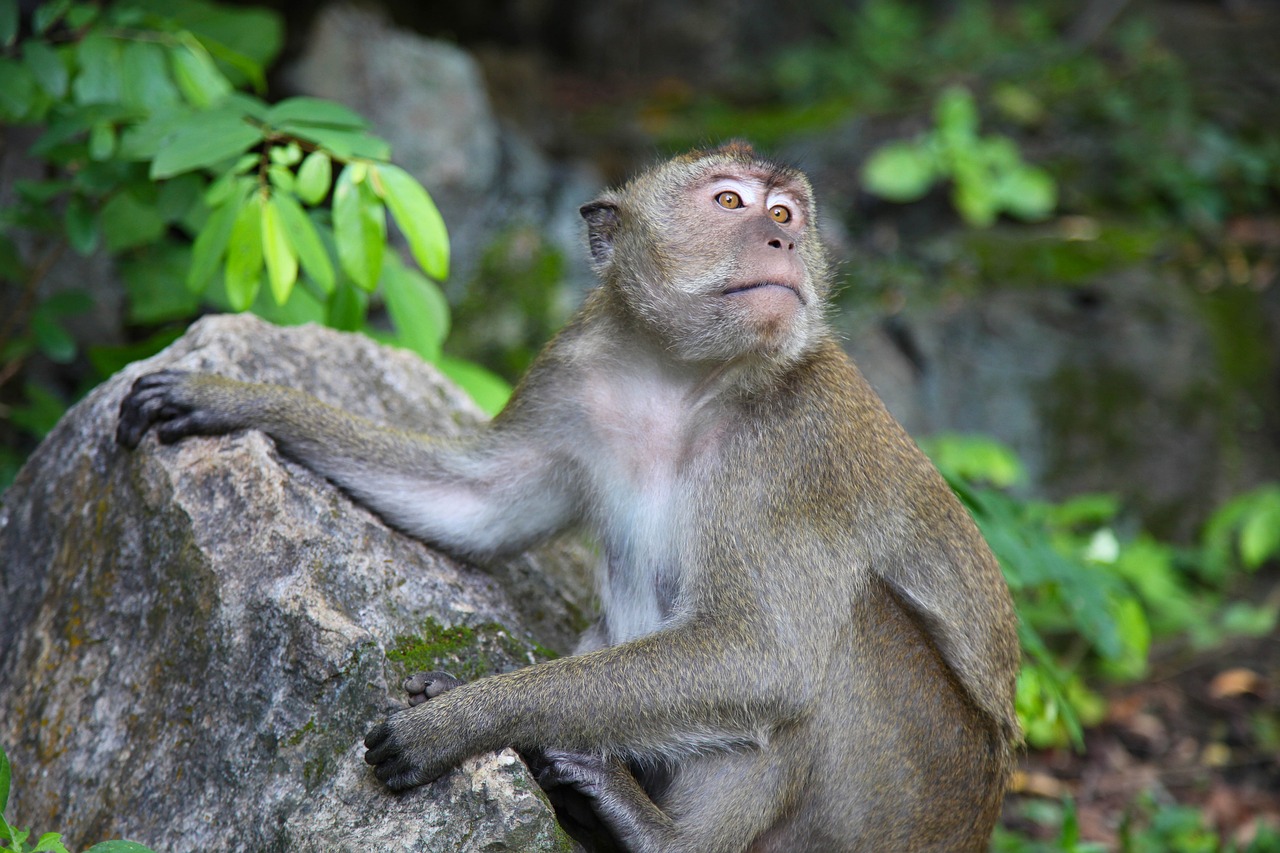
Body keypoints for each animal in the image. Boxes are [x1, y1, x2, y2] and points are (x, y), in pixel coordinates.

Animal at [117, 140, 1018, 850]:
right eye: (730, 201)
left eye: (788, 213)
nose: (780, 237)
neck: (683, 380)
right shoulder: (575, 372)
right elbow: (477, 504)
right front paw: (233, 398)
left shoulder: (800, 452)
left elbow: (765, 656)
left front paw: (461, 719)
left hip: (905, 799)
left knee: (843, 630)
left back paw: (654, 831)